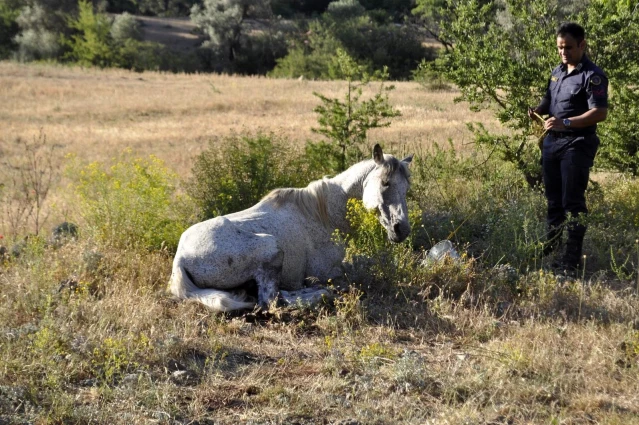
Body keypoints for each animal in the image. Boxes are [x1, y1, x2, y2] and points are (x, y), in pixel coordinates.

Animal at [168, 143, 412, 312]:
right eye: (385, 183)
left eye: (406, 187)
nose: (401, 229)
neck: (324, 215)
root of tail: (180, 259)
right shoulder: (330, 272)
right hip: (271, 246)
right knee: (273, 301)